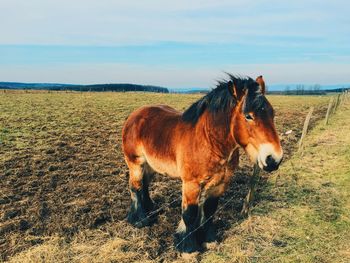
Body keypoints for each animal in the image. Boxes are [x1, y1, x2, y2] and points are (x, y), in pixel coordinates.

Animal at [121, 74, 284, 254]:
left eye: (272, 113)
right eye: (248, 116)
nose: (274, 159)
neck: (209, 142)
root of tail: (135, 115)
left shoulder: (220, 183)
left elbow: (210, 210)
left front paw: (209, 240)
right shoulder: (191, 184)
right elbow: (189, 214)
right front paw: (188, 247)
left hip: (150, 166)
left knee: (145, 185)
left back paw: (151, 210)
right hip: (135, 163)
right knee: (135, 187)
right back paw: (140, 219)